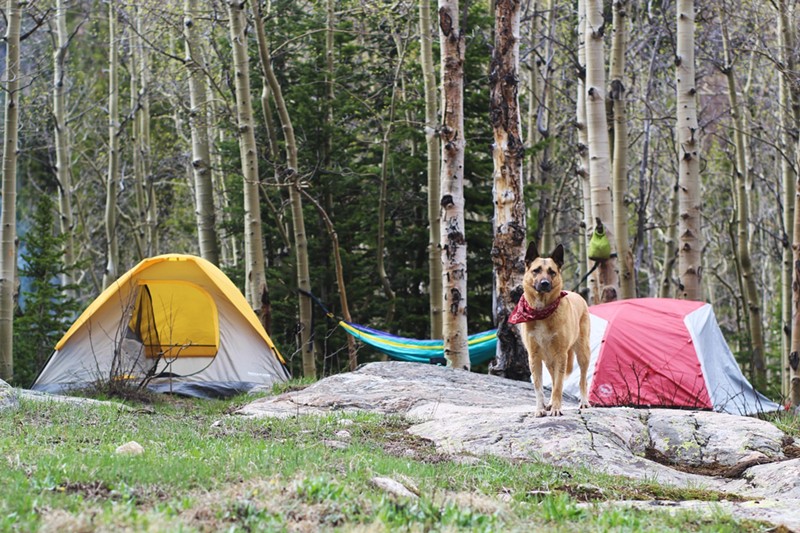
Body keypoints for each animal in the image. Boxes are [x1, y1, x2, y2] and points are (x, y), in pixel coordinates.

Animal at [510, 242, 592, 416]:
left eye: (552, 272)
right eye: (536, 270)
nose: (544, 284)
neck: (541, 312)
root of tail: (578, 295)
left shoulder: (561, 354)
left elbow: (558, 386)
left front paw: (556, 408)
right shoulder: (534, 357)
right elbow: (539, 387)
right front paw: (541, 409)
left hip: (582, 352)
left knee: (582, 380)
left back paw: (584, 402)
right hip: (548, 360)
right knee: (554, 380)